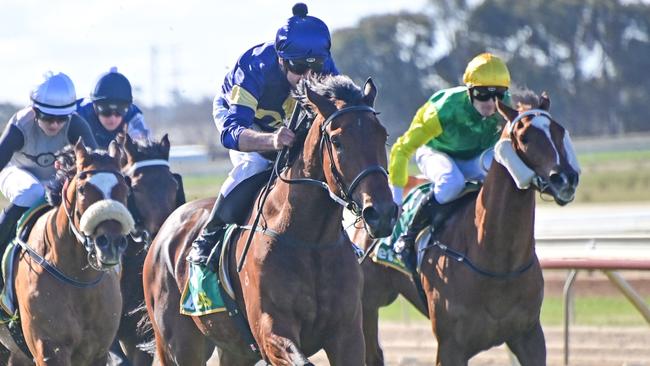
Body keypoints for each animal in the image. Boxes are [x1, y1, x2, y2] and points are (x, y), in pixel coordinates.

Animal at [0, 140, 134, 366]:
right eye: (82, 189)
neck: (79, 280)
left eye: (124, 188)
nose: (111, 244)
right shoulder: (49, 350)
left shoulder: (97, 352)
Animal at [143, 75, 394, 366]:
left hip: (233, 349)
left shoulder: (347, 334)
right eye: (337, 141)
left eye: (383, 135)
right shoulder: (270, 330)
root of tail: (163, 232)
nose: (382, 212)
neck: (310, 241)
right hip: (180, 344)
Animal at [360, 93, 576, 364]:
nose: (566, 178)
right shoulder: (450, 346)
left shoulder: (529, 336)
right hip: (367, 303)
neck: (498, 263)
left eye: (560, 131)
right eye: (524, 136)